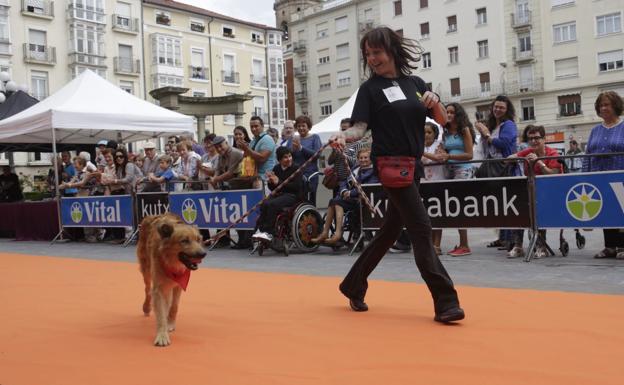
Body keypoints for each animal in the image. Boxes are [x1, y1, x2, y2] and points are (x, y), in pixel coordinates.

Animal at [136, 212, 205, 346]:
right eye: (184, 241)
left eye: (198, 240)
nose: (203, 254)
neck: (171, 262)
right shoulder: (158, 288)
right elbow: (161, 314)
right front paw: (162, 335)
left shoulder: (178, 284)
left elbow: (174, 306)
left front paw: (170, 322)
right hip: (146, 270)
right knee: (147, 290)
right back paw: (146, 307)